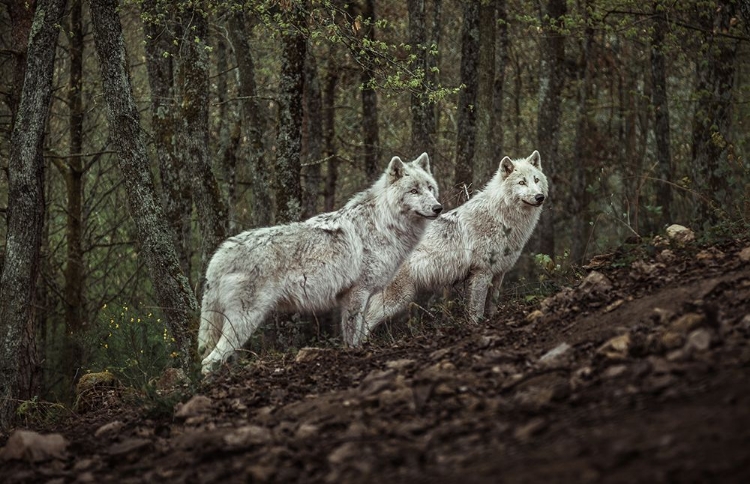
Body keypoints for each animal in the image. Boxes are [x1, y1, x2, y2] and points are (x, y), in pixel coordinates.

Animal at [200, 153, 444, 372]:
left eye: (429, 188)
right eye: (413, 191)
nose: (438, 208)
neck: (384, 224)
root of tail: (218, 256)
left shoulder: (361, 296)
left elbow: (360, 331)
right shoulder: (357, 293)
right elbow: (353, 334)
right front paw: (354, 354)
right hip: (244, 321)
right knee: (208, 362)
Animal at [366, 150, 552, 340]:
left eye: (536, 180)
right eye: (522, 182)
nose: (540, 197)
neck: (501, 219)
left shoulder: (499, 273)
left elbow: (492, 305)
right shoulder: (481, 272)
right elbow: (476, 309)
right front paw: (476, 327)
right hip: (397, 300)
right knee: (366, 321)